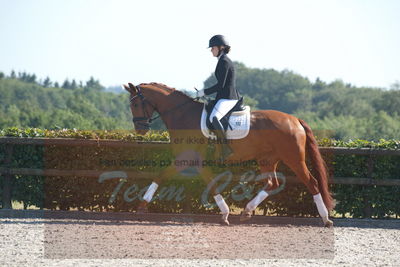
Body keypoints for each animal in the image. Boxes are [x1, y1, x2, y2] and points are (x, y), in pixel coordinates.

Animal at [122, 82, 334, 227]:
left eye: (136, 105)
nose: (140, 130)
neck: (183, 115)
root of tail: (295, 120)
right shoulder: (197, 162)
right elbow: (212, 184)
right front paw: (224, 214)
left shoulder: (184, 159)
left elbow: (160, 175)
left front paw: (141, 206)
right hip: (267, 159)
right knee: (272, 183)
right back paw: (247, 211)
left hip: (294, 159)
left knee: (312, 183)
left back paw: (325, 219)